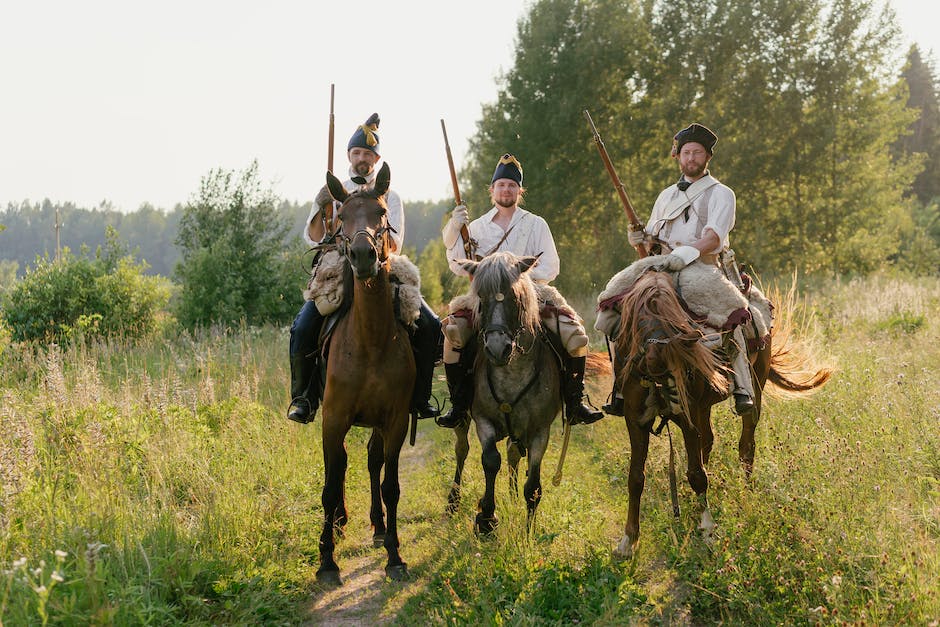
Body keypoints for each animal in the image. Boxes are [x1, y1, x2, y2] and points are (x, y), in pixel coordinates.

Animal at [608, 270, 828, 560]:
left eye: (686, 371)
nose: (675, 405)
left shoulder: (688, 418)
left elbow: (696, 474)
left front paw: (708, 530)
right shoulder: (637, 421)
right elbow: (636, 477)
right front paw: (628, 540)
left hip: (751, 393)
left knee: (745, 446)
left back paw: (746, 494)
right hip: (702, 409)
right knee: (707, 444)